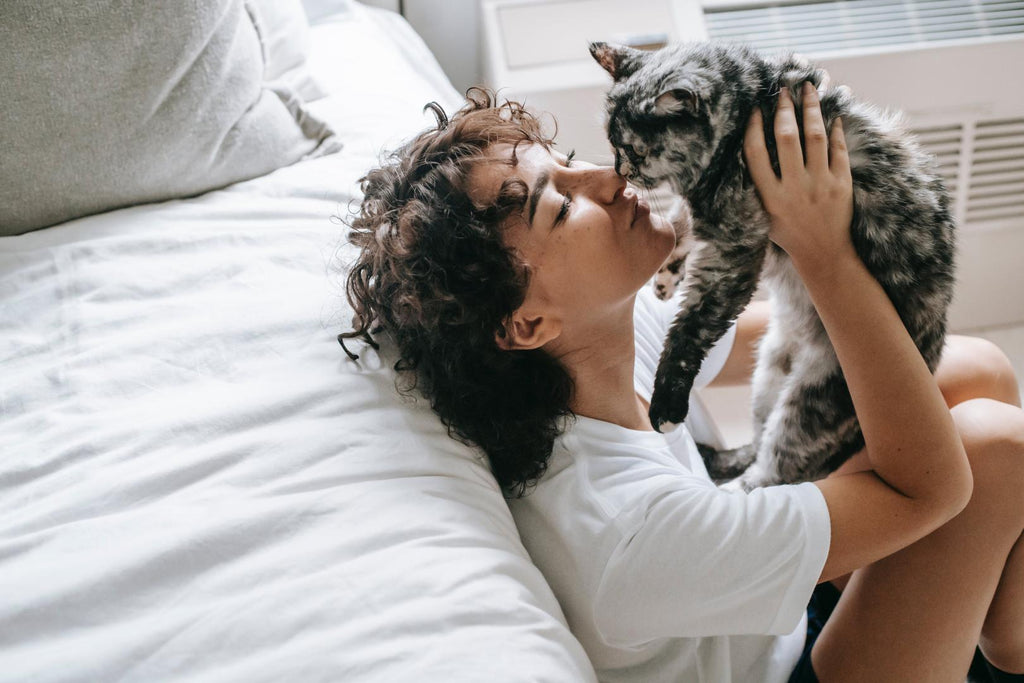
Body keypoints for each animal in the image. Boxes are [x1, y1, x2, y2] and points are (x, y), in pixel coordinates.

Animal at [593, 42, 958, 489]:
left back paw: (733, 485)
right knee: (759, 443)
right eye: (612, 144)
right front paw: (666, 278)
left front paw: (666, 405)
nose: (619, 171)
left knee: (771, 474)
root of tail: (930, 359)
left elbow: (689, 329)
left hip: (810, 405)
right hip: (767, 377)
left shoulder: (735, 249)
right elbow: (680, 224)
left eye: (635, 150)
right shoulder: (712, 214)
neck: (753, 101)